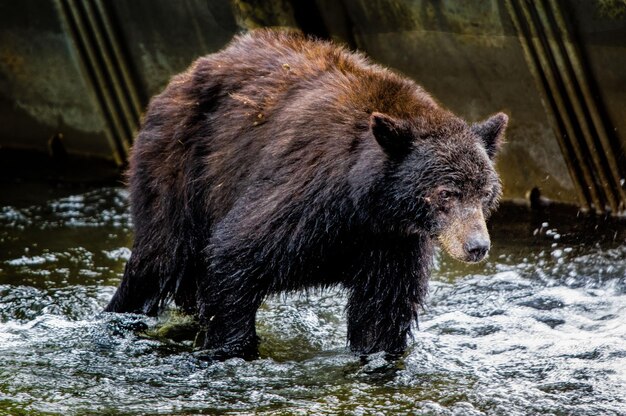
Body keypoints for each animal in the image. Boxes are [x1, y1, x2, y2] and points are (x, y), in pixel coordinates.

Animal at [105, 29, 504, 360]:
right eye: (446, 193)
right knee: (157, 259)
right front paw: (232, 346)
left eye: (485, 193)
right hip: (180, 168)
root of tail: (184, 75)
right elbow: (235, 253)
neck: (365, 203)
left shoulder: (392, 245)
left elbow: (382, 313)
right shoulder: (303, 196)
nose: (476, 246)